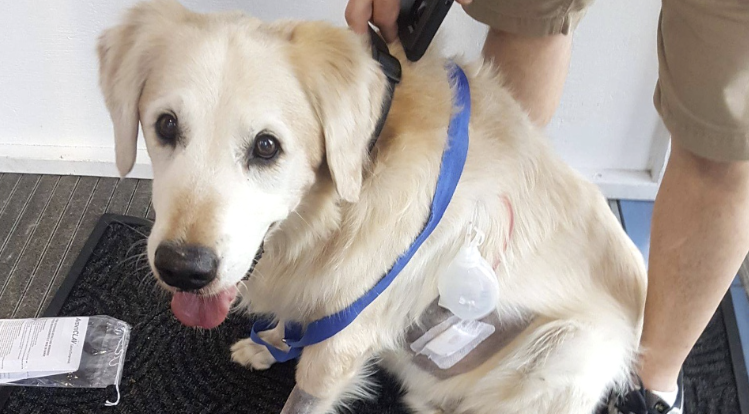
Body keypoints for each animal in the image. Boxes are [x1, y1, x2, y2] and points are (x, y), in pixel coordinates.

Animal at [98, 1, 648, 412]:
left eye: (267, 147)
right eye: (166, 126)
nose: (183, 269)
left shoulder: (343, 339)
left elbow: (305, 391)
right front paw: (266, 343)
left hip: (566, 351)